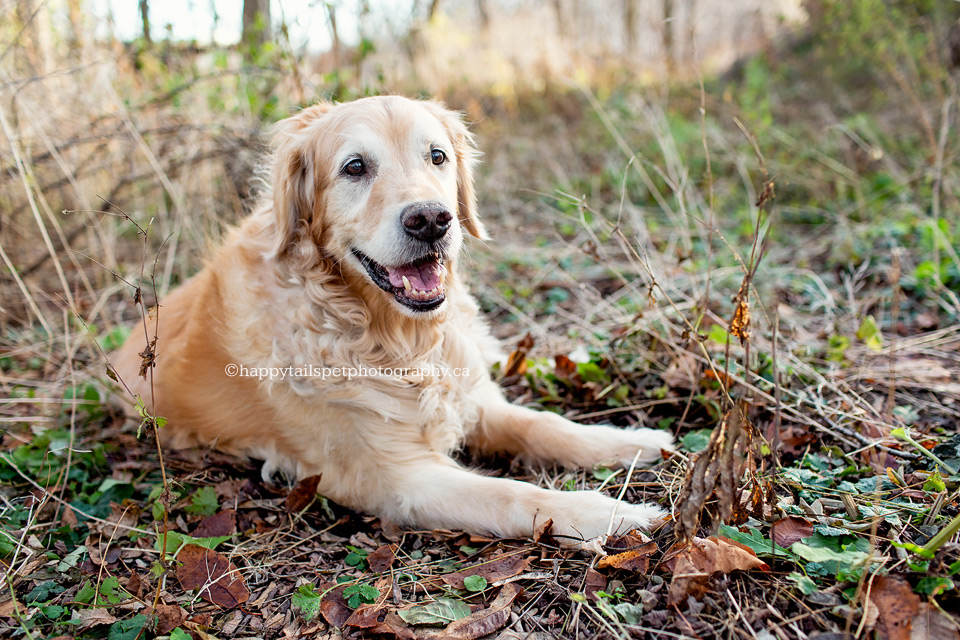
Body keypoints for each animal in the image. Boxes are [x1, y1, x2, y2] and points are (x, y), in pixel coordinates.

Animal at [112, 96, 672, 544]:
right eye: (355, 167)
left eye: (437, 156)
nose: (431, 220)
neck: (399, 339)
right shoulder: (399, 481)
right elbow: (515, 495)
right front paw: (613, 514)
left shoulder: (474, 399)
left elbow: (545, 426)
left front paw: (635, 443)